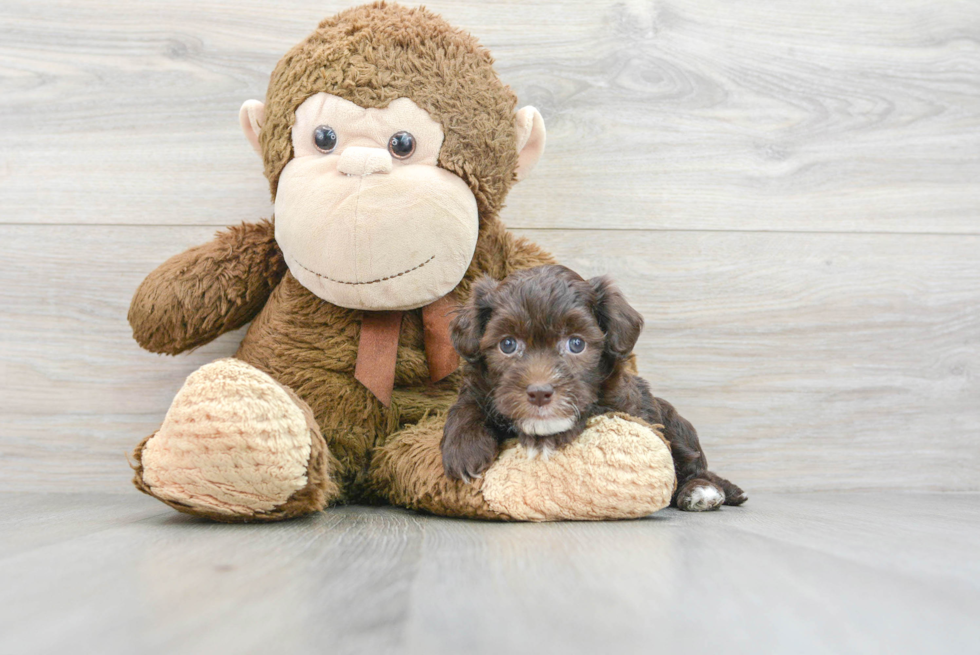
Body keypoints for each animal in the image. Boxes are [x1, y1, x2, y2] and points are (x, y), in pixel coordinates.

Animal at [440, 266, 748, 512]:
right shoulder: (481, 388)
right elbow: (468, 404)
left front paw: (545, 439)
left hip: (675, 425)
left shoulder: (622, 402)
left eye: (576, 344)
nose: (539, 393)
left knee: (691, 466)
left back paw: (701, 490)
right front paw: (464, 446)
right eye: (508, 344)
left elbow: (591, 406)